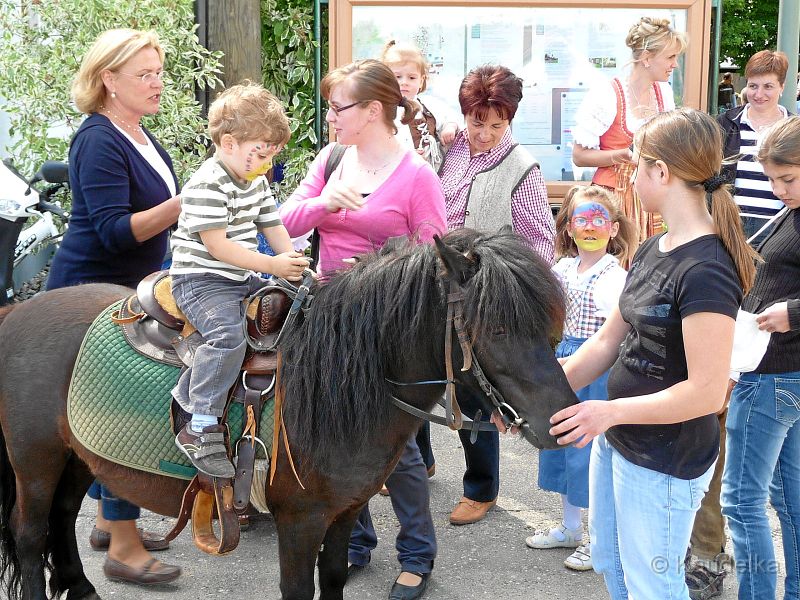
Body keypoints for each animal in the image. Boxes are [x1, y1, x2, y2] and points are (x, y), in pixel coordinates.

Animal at [0, 227, 580, 596]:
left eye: (549, 326)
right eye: (497, 328)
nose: (560, 424)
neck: (337, 381)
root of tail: (16, 312)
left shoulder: (344, 512)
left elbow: (336, 580)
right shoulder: (300, 523)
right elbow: (299, 589)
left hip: (77, 458)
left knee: (61, 520)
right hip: (35, 462)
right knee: (30, 534)